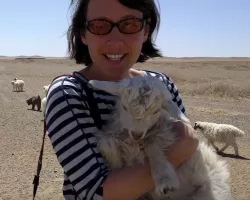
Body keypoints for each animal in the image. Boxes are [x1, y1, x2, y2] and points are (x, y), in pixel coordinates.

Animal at [89, 75, 231, 200]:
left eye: (156, 111)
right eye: (124, 107)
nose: (136, 134)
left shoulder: (165, 132)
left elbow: (153, 147)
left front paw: (164, 180)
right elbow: (106, 143)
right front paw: (116, 163)